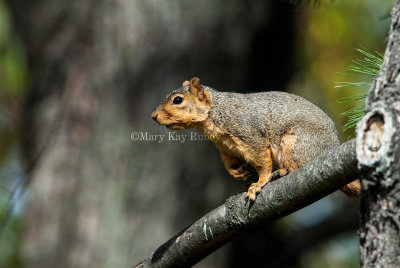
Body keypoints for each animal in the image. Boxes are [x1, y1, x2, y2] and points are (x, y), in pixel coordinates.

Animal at [152, 77, 360, 201]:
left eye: (178, 100)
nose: (153, 116)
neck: (215, 114)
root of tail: (331, 148)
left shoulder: (250, 134)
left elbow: (262, 161)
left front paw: (260, 182)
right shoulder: (226, 147)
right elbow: (230, 161)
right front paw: (236, 172)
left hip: (297, 143)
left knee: (301, 166)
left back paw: (283, 172)